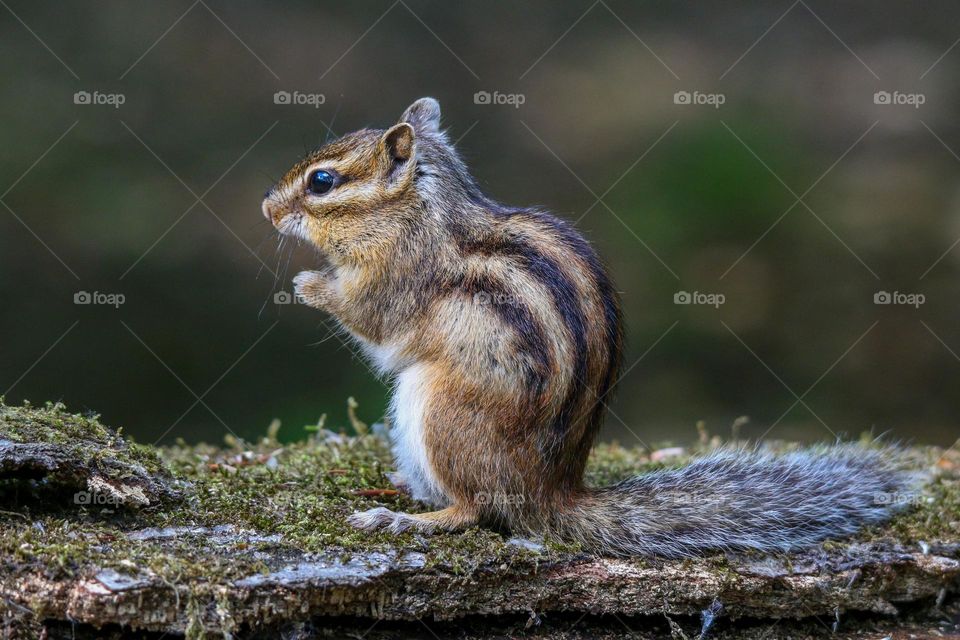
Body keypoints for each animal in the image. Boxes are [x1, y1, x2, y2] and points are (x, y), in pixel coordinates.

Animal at [263, 97, 917, 557]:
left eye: (322, 181)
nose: (267, 208)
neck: (419, 212)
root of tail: (550, 493)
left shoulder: (398, 279)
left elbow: (369, 317)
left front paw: (307, 284)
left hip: (439, 410)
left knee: (476, 510)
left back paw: (402, 517)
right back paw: (403, 486)